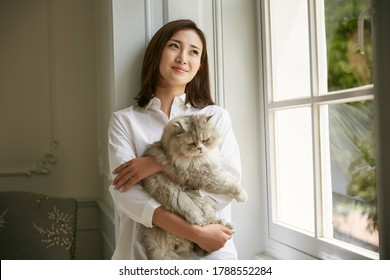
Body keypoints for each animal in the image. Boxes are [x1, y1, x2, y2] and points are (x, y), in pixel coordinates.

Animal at [142, 114, 248, 260]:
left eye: (205, 140)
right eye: (191, 143)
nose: (200, 148)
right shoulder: (204, 176)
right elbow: (228, 183)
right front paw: (242, 195)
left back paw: (226, 224)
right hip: (177, 194)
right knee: (199, 218)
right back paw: (210, 222)